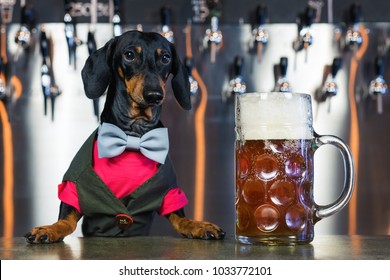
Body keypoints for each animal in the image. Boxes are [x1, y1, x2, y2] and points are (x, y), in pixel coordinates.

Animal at [24, 30, 224, 244]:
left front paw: (199, 226)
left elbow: (181, 218)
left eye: (165, 58)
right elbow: (66, 220)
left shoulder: (170, 189)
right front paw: (50, 229)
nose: (154, 95)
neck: (133, 137)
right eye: (129, 55)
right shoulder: (75, 184)